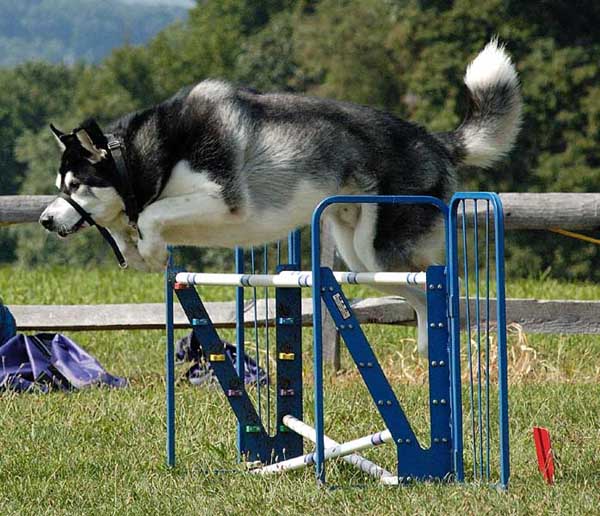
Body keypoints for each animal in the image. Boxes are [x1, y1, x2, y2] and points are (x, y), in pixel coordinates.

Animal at [41, 41, 520, 354]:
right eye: (59, 186)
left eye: (76, 185)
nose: (45, 219)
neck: (141, 156)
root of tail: (435, 141)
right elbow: (134, 227)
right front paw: (138, 251)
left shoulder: (224, 200)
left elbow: (152, 216)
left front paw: (153, 250)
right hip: (360, 257)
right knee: (420, 298)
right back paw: (427, 349)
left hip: (380, 252)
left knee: (442, 292)